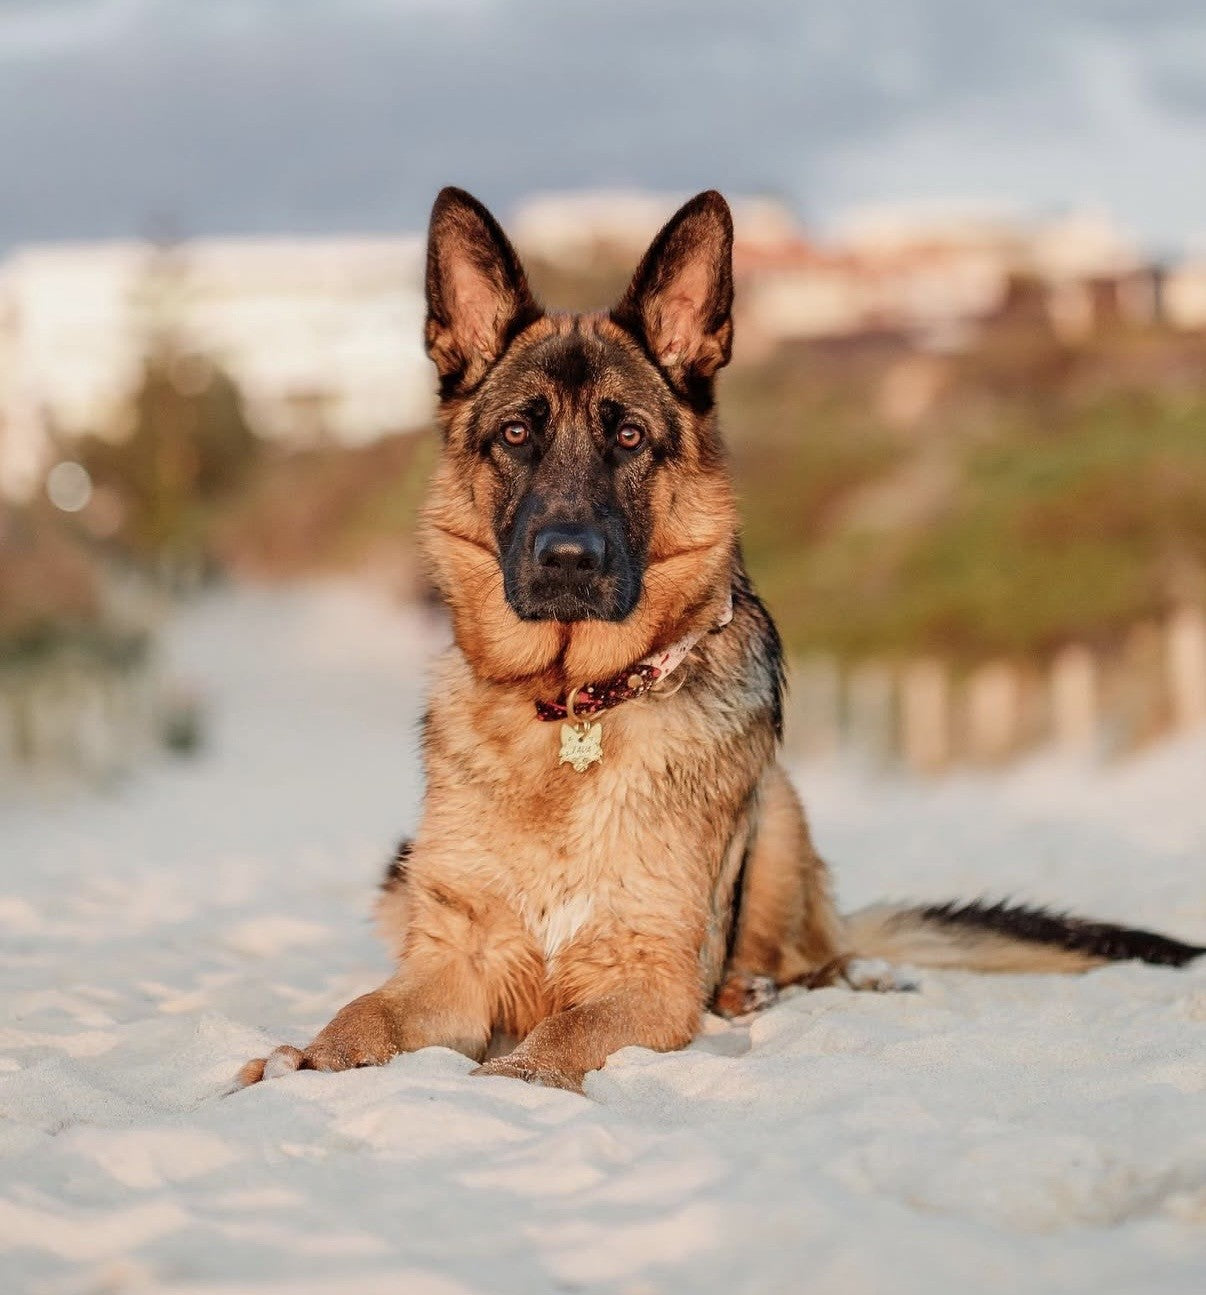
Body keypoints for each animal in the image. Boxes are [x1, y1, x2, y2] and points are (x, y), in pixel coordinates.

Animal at [237, 187, 1203, 1094]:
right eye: (516, 433)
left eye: (630, 435)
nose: (568, 560)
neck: (574, 710)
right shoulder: (456, 959)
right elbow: (364, 1014)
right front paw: (302, 1060)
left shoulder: (651, 978)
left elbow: (561, 1035)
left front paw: (514, 1077)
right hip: (400, 873)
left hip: (777, 808)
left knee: (814, 954)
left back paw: (805, 980)